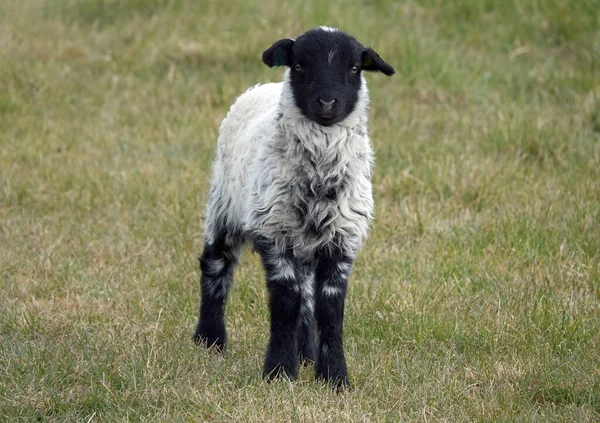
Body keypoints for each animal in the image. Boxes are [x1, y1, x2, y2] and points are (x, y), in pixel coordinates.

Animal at [192, 27, 396, 390]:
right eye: (299, 65)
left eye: (354, 68)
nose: (327, 103)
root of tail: (263, 87)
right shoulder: (275, 233)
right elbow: (285, 303)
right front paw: (278, 372)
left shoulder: (341, 238)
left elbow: (329, 310)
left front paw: (334, 378)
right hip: (225, 204)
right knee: (216, 266)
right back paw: (210, 339)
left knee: (307, 298)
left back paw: (306, 355)